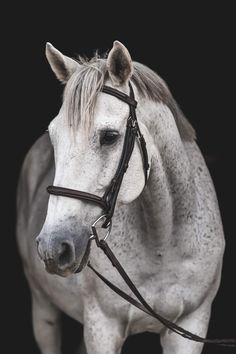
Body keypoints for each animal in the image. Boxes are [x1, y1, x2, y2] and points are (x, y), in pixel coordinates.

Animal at [16, 41, 225, 354]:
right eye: (54, 136)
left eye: (109, 137)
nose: (53, 247)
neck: (163, 243)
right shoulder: (103, 327)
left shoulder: (190, 326)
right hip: (44, 309)